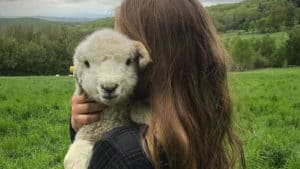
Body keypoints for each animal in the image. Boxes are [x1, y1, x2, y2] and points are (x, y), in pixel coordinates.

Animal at [64, 29, 151, 169]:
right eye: (87, 63)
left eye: (128, 61)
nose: (109, 87)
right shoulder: (87, 132)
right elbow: (74, 158)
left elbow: (136, 111)